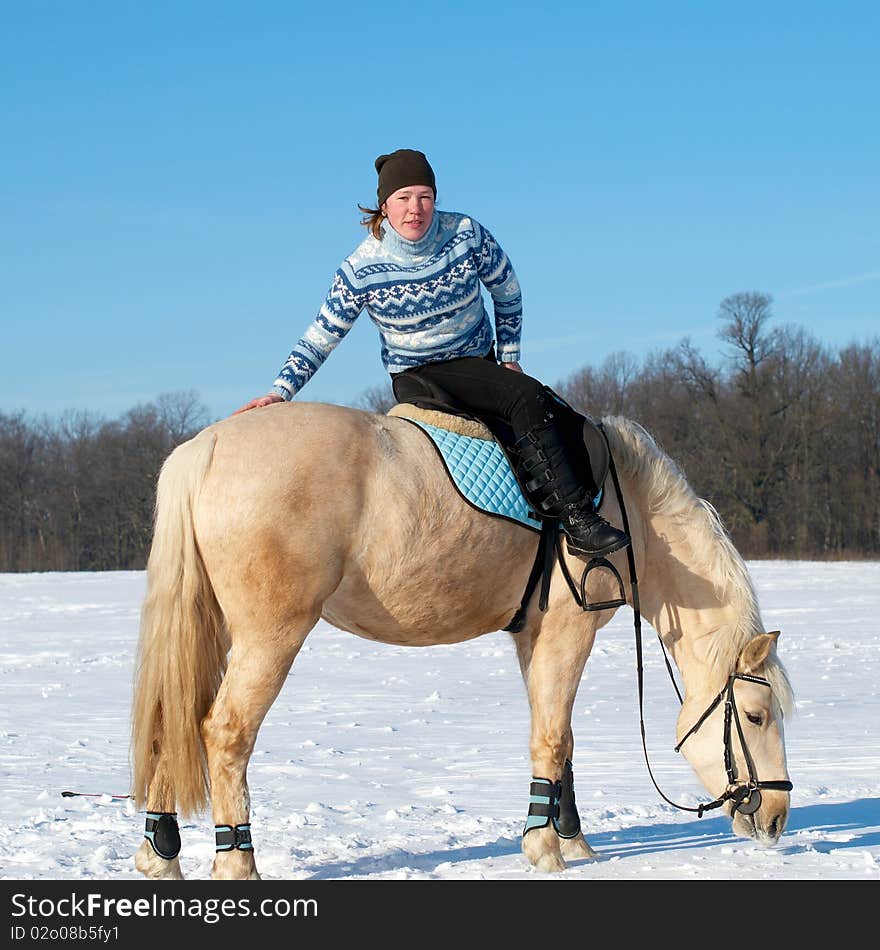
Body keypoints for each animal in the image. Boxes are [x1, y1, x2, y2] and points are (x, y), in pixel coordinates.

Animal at [132, 398, 796, 880]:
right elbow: (553, 739)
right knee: (225, 733)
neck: (626, 508)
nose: (776, 818)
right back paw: (237, 863)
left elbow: (562, 741)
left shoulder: (535, 637)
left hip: (213, 628)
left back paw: (159, 855)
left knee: (174, 717)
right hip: (271, 635)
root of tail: (206, 447)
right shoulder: (569, 630)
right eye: (757, 716)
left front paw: (573, 840)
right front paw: (544, 849)